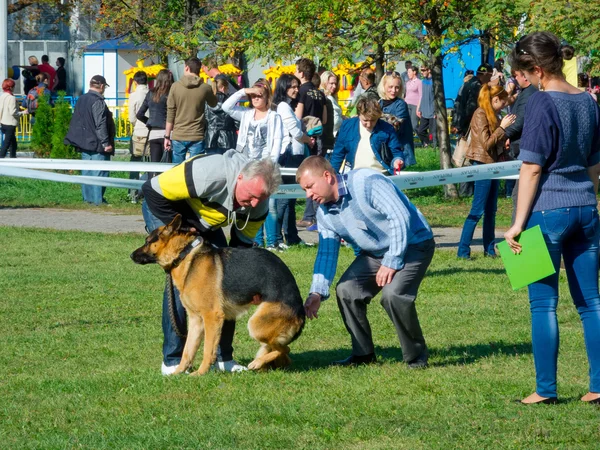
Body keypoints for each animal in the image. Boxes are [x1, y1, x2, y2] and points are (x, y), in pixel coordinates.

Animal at [130, 216, 304, 374]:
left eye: (147, 241)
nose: (131, 255)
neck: (184, 254)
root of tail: (301, 314)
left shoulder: (211, 317)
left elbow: (208, 350)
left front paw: (200, 373)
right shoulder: (195, 320)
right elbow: (187, 351)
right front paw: (178, 373)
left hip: (255, 325)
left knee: (285, 349)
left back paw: (257, 363)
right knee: (283, 353)